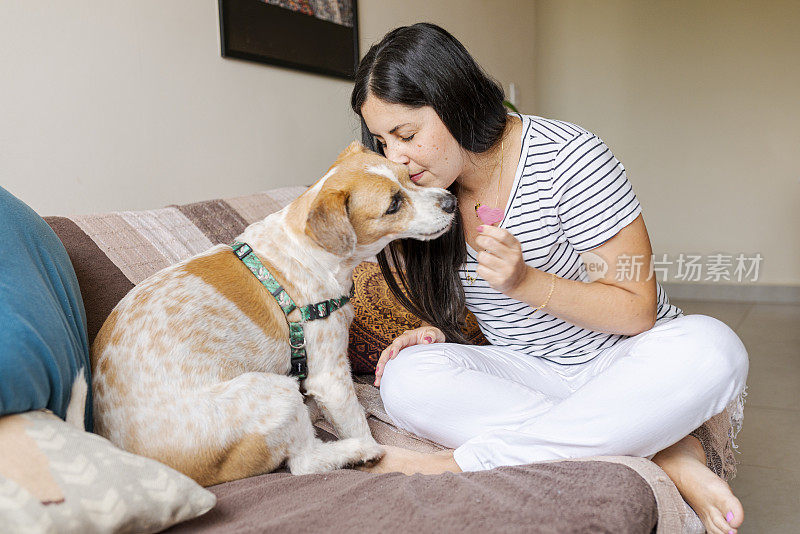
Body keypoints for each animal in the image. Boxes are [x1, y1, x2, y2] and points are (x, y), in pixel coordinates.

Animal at [89, 140, 456, 488]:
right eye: (393, 205)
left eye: (410, 176)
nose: (451, 201)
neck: (308, 252)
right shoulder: (330, 376)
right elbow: (352, 420)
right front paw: (370, 447)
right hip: (276, 392)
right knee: (305, 462)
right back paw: (356, 451)